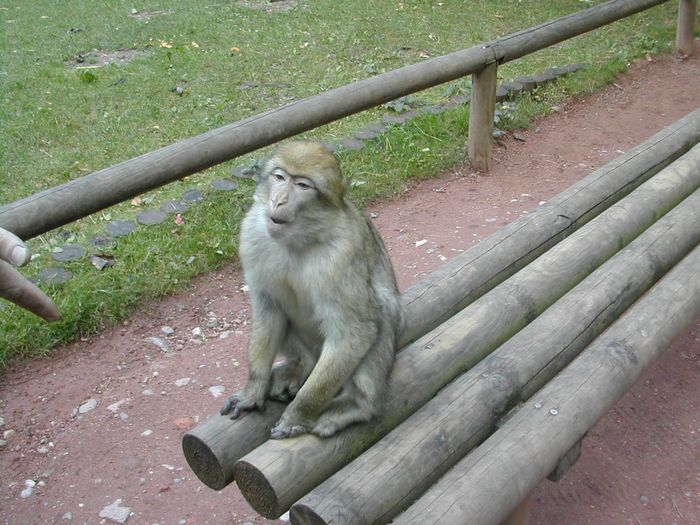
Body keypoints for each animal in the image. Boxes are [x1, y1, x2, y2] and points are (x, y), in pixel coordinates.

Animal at [220, 141, 405, 439]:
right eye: (280, 177)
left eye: (303, 185)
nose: (279, 201)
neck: (300, 239)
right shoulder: (251, 233)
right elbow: (268, 309)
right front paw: (252, 390)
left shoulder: (341, 255)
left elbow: (354, 331)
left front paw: (298, 414)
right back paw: (300, 365)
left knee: (382, 309)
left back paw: (359, 405)